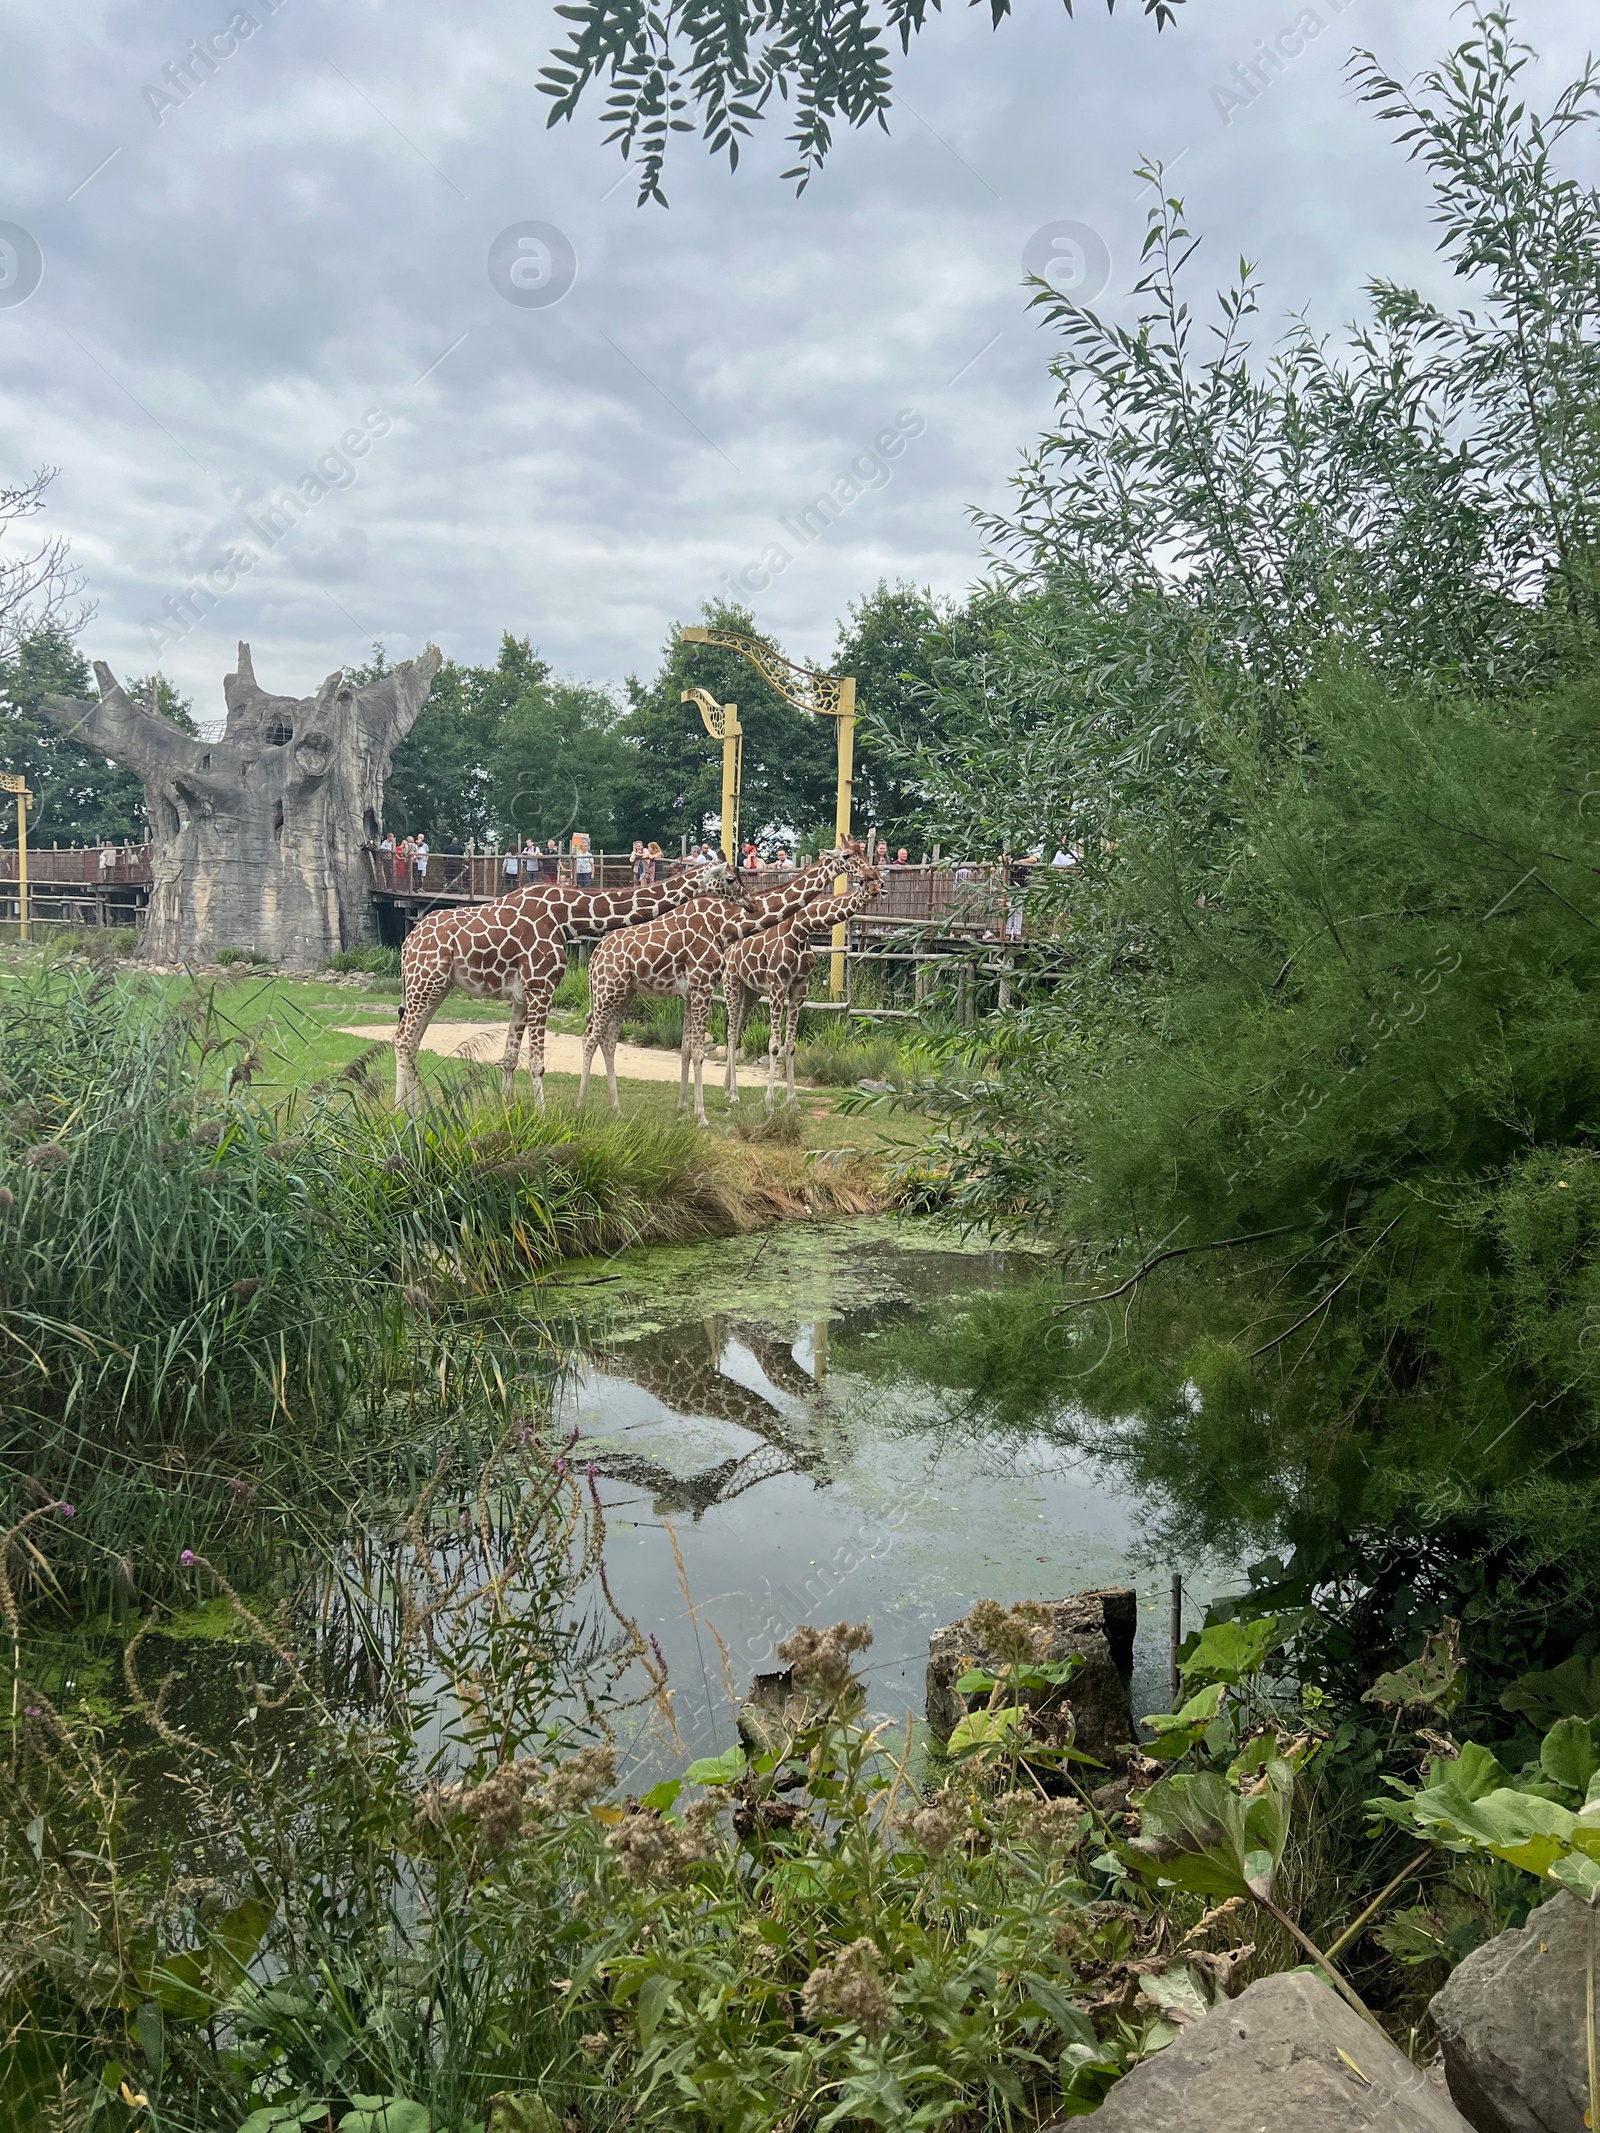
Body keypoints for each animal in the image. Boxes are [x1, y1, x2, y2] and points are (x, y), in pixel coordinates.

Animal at [398, 861, 755, 1109]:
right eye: (730, 879)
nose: (750, 902)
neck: (568, 918)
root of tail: (406, 943)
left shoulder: (521, 996)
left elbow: (510, 1059)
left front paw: (507, 1112)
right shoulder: (541, 987)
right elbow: (537, 1063)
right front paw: (540, 1118)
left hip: (437, 987)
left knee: (412, 1041)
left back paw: (416, 1113)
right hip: (425, 981)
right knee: (403, 1039)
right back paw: (401, 1113)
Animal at [584, 848, 870, 1126]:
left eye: (864, 856)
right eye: (849, 856)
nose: (873, 878)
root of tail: (594, 955)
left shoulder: (699, 991)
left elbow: (687, 1048)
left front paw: (683, 1109)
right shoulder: (722, 985)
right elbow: (703, 1050)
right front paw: (703, 1116)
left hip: (627, 993)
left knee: (608, 1040)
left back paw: (616, 1108)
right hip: (611, 990)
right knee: (591, 1036)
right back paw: (581, 1105)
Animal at [725, 857, 891, 1109]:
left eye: (880, 881)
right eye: (862, 881)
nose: (875, 891)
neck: (801, 929)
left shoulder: (800, 987)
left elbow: (791, 1045)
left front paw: (792, 1102)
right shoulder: (777, 986)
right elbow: (774, 1045)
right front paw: (769, 1102)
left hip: (750, 990)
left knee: (736, 1031)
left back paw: (728, 1090)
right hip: (731, 981)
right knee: (731, 1032)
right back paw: (733, 1094)